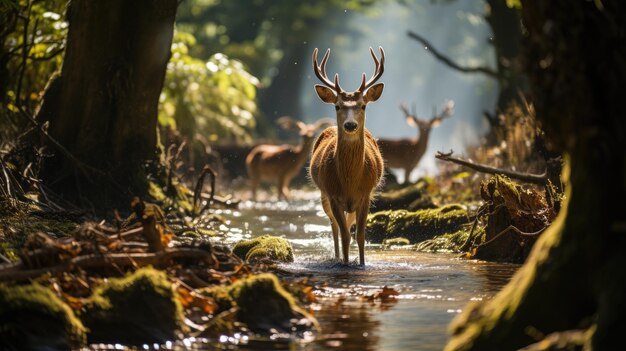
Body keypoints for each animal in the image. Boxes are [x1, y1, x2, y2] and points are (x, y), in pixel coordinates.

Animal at [308, 47, 386, 266]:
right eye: (337, 106)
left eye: (363, 105)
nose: (350, 125)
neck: (350, 182)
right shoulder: (333, 194)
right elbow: (343, 234)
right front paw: (344, 262)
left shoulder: (366, 194)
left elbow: (359, 235)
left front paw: (361, 263)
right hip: (324, 195)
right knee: (334, 227)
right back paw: (336, 256)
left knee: (349, 226)